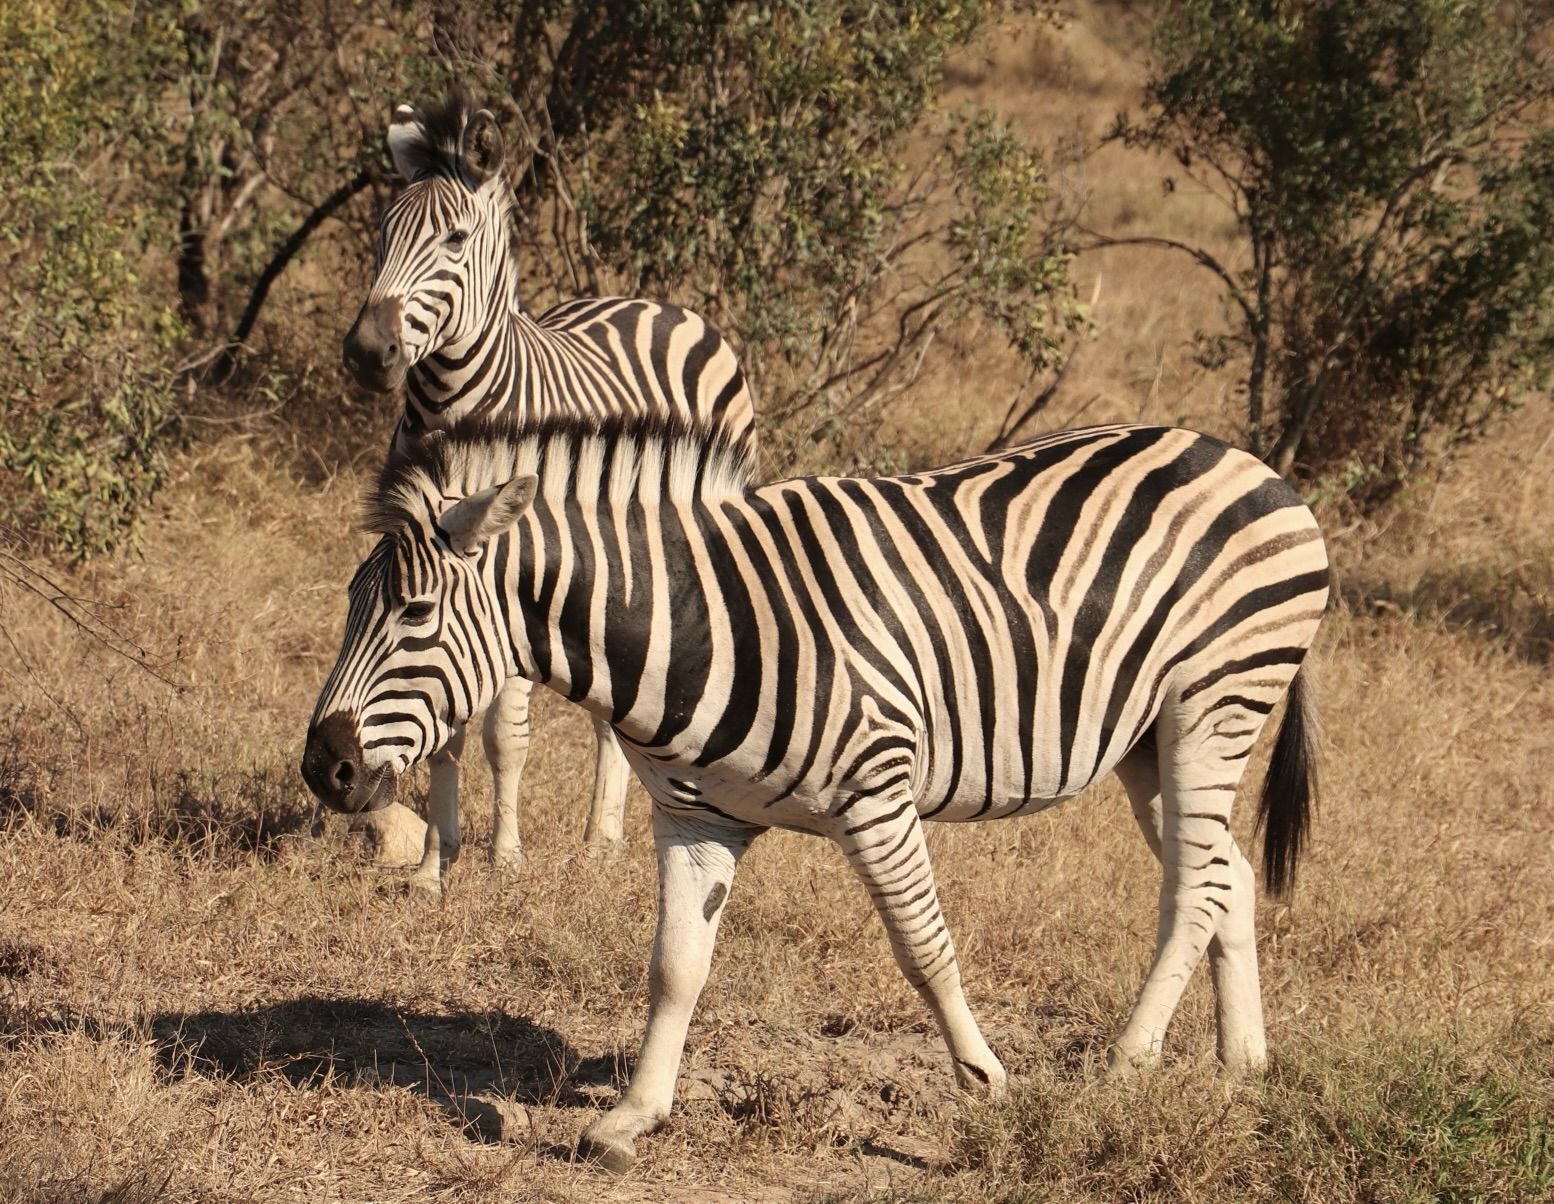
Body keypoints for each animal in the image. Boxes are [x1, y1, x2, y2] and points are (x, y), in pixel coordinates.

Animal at [301, 413, 1328, 1171]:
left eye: (415, 613)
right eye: (351, 605)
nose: (323, 769)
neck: (696, 619)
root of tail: (1251, 464)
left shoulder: (879, 795)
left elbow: (925, 951)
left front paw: (987, 1083)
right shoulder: (693, 818)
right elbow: (675, 968)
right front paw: (633, 1117)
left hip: (1212, 702)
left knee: (1194, 887)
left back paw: (1123, 1067)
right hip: (1150, 739)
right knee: (1225, 872)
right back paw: (1241, 1069)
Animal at [338, 91, 757, 891]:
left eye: (455, 239)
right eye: (380, 234)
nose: (368, 353)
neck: (451, 412)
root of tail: (658, 303)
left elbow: (504, 732)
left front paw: (504, 856)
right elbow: (443, 725)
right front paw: (434, 865)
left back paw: (600, 837)